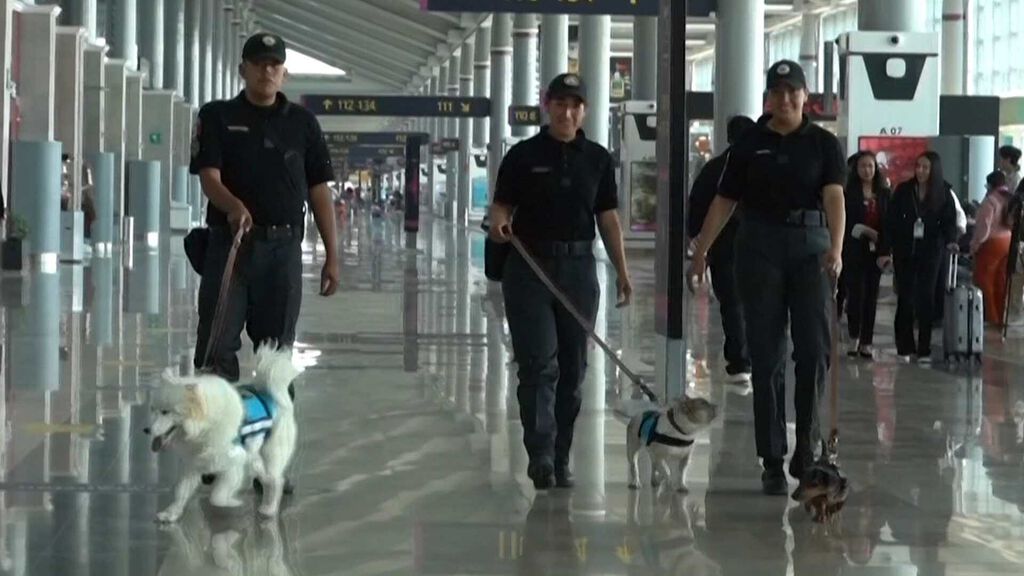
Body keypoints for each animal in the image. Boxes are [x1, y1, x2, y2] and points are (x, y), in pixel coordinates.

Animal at [145, 343, 301, 523]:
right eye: (153, 409)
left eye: (166, 412)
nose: (146, 430)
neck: (205, 427)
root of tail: (270, 395)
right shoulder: (193, 463)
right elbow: (181, 491)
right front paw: (171, 513)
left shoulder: (235, 460)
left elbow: (217, 496)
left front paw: (232, 502)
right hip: (254, 457)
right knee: (268, 478)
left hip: (270, 453)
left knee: (276, 480)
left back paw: (269, 508)